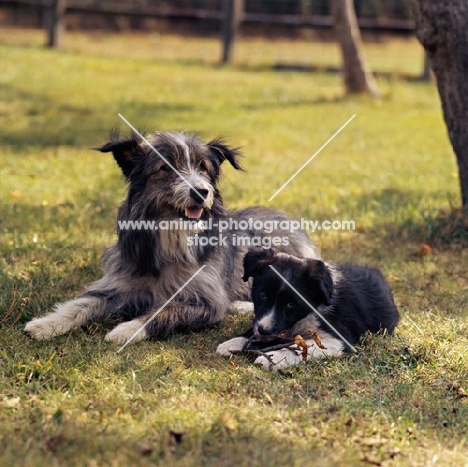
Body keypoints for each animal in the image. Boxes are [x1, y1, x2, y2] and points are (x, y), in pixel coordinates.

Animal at [24, 131, 318, 344]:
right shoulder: (119, 283)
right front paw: (46, 324)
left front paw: (126, 329)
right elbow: (81, 303)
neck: (172, 233)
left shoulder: (205, 300)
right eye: (166, 168)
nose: (201, 191)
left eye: (203, 168)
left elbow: (164, 311)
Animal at [218, 249, 400, 370]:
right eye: (263, 295)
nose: (264, 331)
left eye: (290, 304)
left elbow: (301, 346)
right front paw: (233, 342)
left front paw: (273, 358)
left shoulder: (337, 338)